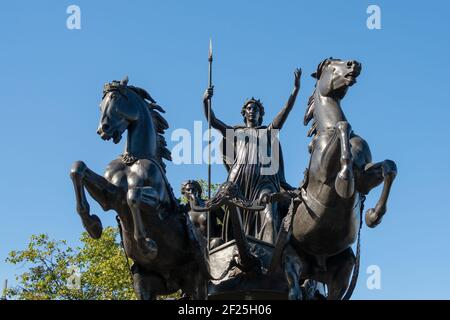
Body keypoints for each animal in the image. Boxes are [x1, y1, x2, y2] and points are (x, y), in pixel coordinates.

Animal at [69, 77, 208, 300]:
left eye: (115, 98)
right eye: (100, 105)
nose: (103, 129)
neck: (133, 160)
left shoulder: (157, 202)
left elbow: (132, 196)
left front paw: (147, 246)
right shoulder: (110, 197)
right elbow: (77, 168)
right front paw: (93, 225)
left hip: (196, 282)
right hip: (144, 284)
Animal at [288, 59, 398, 300]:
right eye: (330, 65)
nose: (353, 64)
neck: (327, 128)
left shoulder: (365, 178)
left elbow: (389, 167)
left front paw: (373, 216)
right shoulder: (323, 173)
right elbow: (343, 127)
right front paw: (344, 180)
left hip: (342, 272)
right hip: (291, 262)